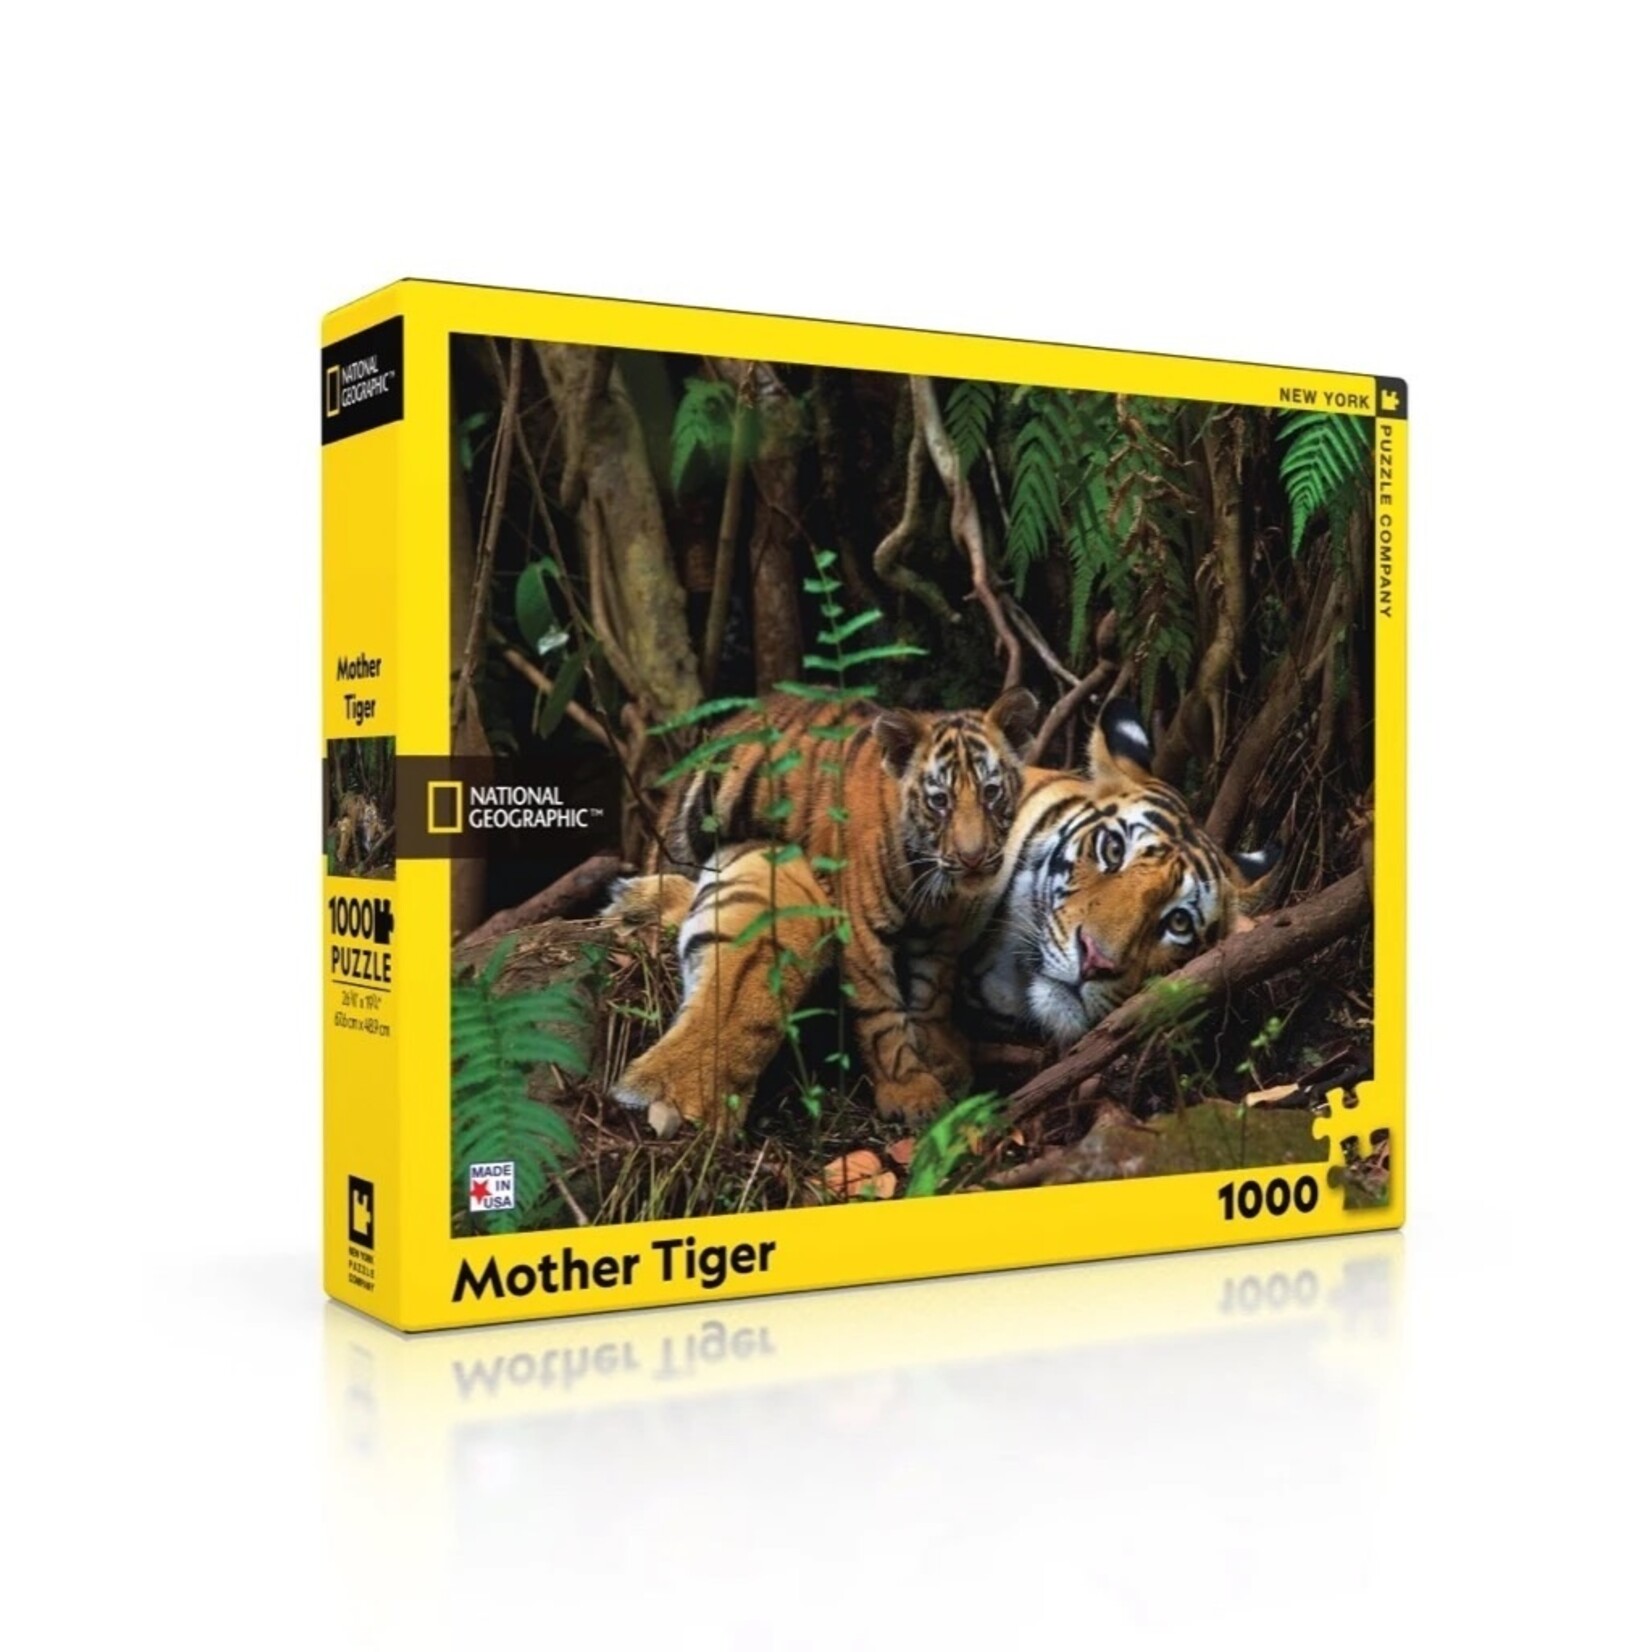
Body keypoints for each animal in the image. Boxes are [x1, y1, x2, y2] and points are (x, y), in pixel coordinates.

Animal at [641, 688, 1040, 1121]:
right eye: (939, 801)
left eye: (991, 792)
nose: (973, 857)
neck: (929, 876)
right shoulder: (864, 932)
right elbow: (881, 1013)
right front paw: (912, 1092)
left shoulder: (936, 934)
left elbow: (932, 994)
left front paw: (943, 1058)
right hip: (686, 831)